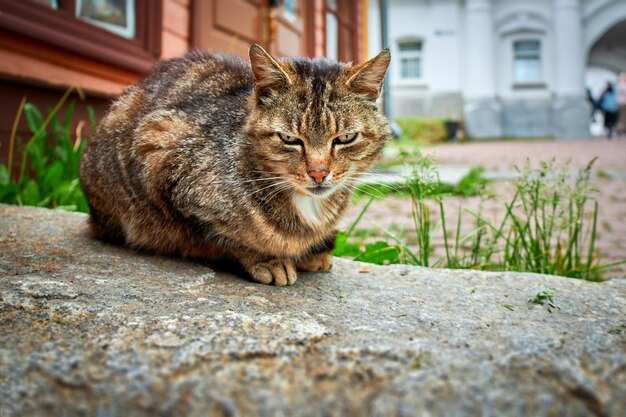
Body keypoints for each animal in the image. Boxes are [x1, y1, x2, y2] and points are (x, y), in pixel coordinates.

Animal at [79, 44, 390, 286]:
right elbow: (228, 237)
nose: (318, 173)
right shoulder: (160, 152)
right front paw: (269, 260)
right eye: (290, 139)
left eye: (345, 138)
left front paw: (314, 252)